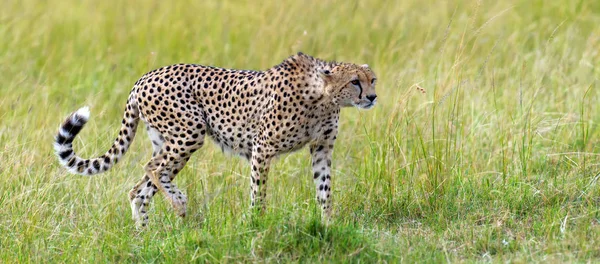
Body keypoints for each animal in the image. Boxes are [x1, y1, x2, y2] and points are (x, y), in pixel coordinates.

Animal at [55, 52, 376, 227]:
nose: (372, 97)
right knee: (152, 168)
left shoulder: (321, 148)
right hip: (190, 130)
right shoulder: (263, 147)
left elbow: (325, 191)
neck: (323, 96)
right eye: (355, 82)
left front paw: (328, 225)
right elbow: (259, 192)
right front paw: (257, 223)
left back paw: (143, 236)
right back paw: (179, 203)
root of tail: (145, 77)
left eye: (372, 80)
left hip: (170, 141)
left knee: (139, 190)